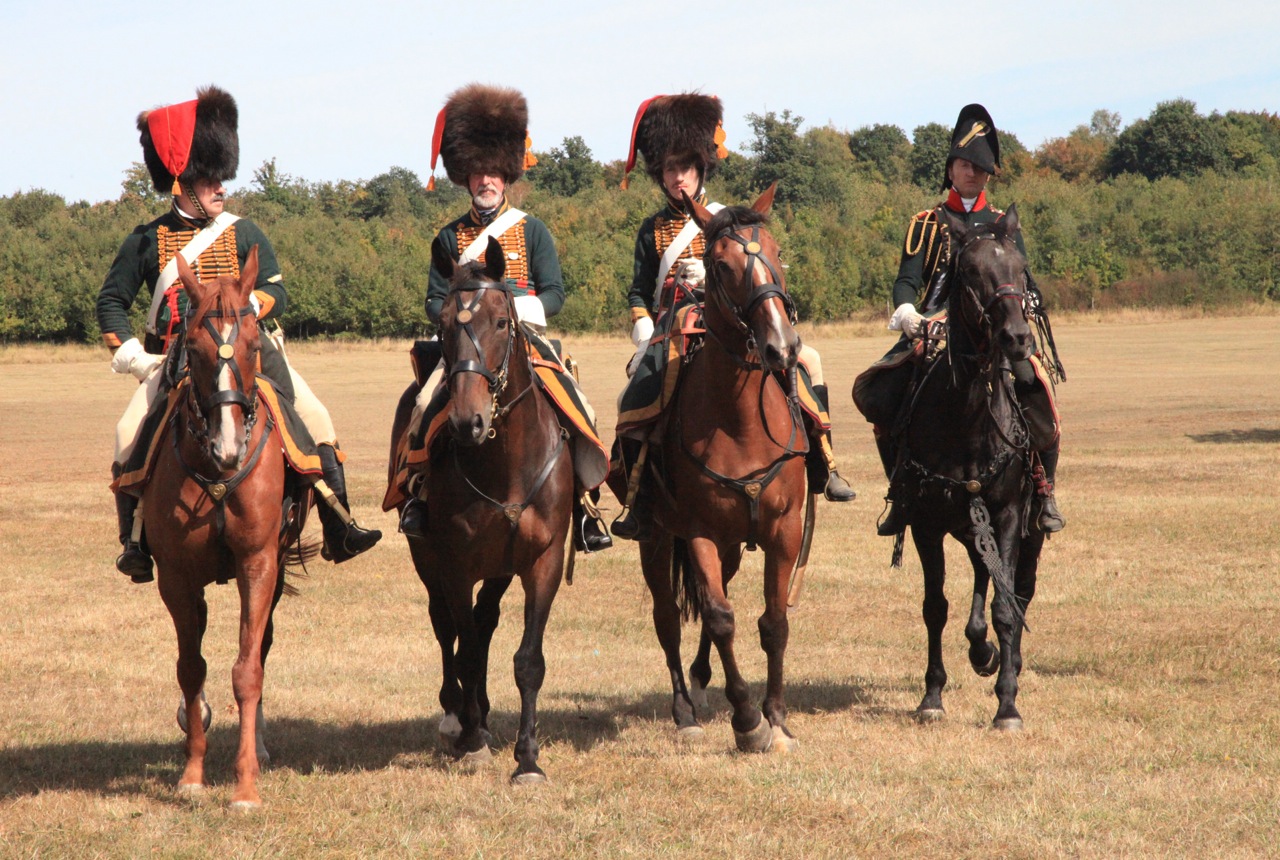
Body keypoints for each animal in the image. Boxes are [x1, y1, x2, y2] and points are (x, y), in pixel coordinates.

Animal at [142, 246, 307, 808]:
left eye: (255, 345)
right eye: (192, 348)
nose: (229, 447)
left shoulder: (257, 564)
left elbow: (247, 668)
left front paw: (245, 783)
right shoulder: (175, 574)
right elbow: (191, 667)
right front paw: (193, 774)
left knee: (262, 647)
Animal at [404, 235, 576, 788]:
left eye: (501, 322)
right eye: (442, 327)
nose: (468, 422)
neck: (507, 463)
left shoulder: (542, 561)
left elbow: (527, 661)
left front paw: (528, 758)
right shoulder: (455, 564)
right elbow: (464, 645)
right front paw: (473, 740)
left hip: (499, 569)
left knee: (484, 624)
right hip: (428, 561)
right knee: (449, 629)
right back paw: (458, 717)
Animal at [634, 186, 803, 752]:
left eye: (775, 251)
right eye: (722, 265)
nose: (782, 347)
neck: (740, 420)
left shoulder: (785, 530)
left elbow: (773, 621)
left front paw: (776, 717)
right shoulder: (698, 532)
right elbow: (721, 617)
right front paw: (748, 721)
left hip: (733, 543)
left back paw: (705, 681)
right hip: (656, 537)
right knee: (669, 617)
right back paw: (685, 709)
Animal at [890, 204, 1039, 726]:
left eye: (1020, 268)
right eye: (972, 272)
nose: (1017, 338)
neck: (968, 419)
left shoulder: (1010, 516)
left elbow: (1006, 606)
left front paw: (1008, 703)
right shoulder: (925, 523)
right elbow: (935, 606)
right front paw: (932, 696)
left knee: (1014, 588)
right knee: (979, 576)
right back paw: (981, 652)